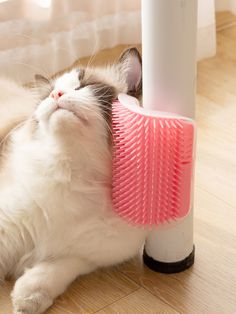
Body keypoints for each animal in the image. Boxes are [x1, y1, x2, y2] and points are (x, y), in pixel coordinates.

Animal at [0, 47, 148, 312]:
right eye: (48, 94)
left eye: (84, 86)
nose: (56, 94)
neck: (77, 177)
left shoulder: (88, 255)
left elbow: (56, 269)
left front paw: (28, 299)